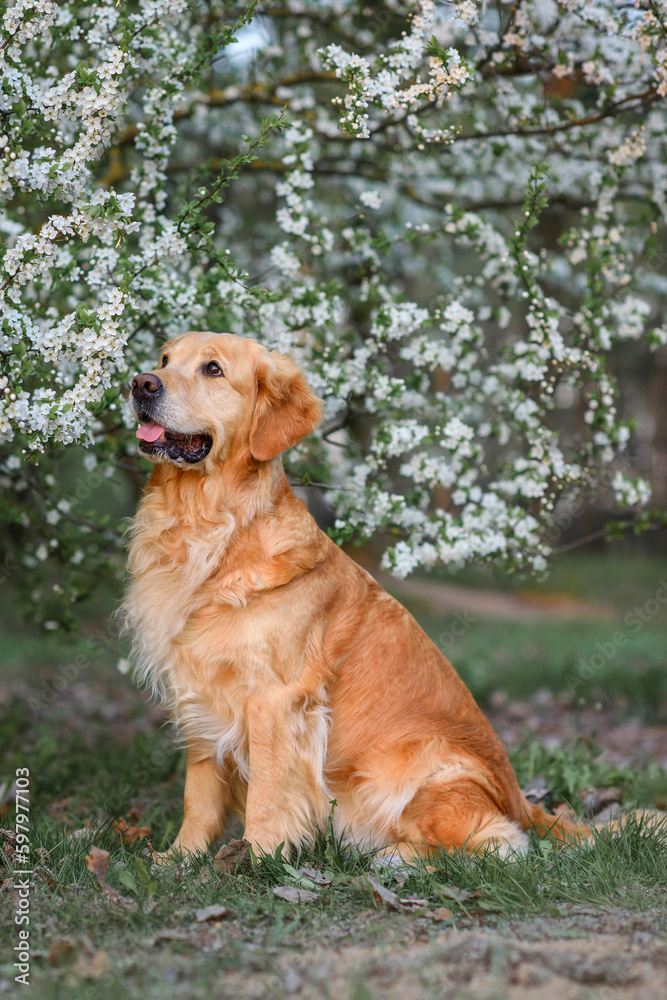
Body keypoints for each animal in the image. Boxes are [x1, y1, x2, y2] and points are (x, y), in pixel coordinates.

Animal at [125, 328, 584, 860]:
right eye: (164, 359)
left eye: (212, 369)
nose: (141, 383)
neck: (209, 528)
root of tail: (523, 802)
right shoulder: (199, 686)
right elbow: (198, 793)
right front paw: (181, 857)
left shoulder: (276, 701)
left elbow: (268, 794)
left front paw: (257, 858)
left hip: (420, 772)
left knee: (493, 843)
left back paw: (394, 859)